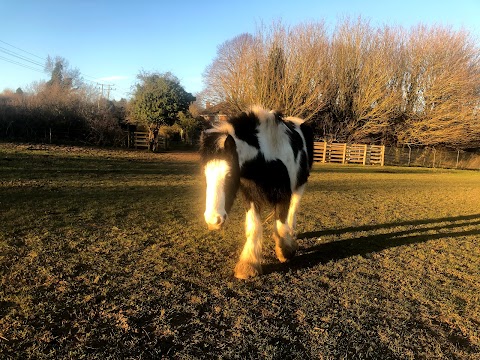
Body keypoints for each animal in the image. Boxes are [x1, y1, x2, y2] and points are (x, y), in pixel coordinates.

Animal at [200, 105, 316, 280]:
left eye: (229, 175)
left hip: (300, 185)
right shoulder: (250, 196)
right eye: (206, 175)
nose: (214, 220)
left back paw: (291, 233)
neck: (266, 158)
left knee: (293, 209)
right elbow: (254, 226)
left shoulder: (283, 195)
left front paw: (285, 251)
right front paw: (248, 265)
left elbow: (280, 223)